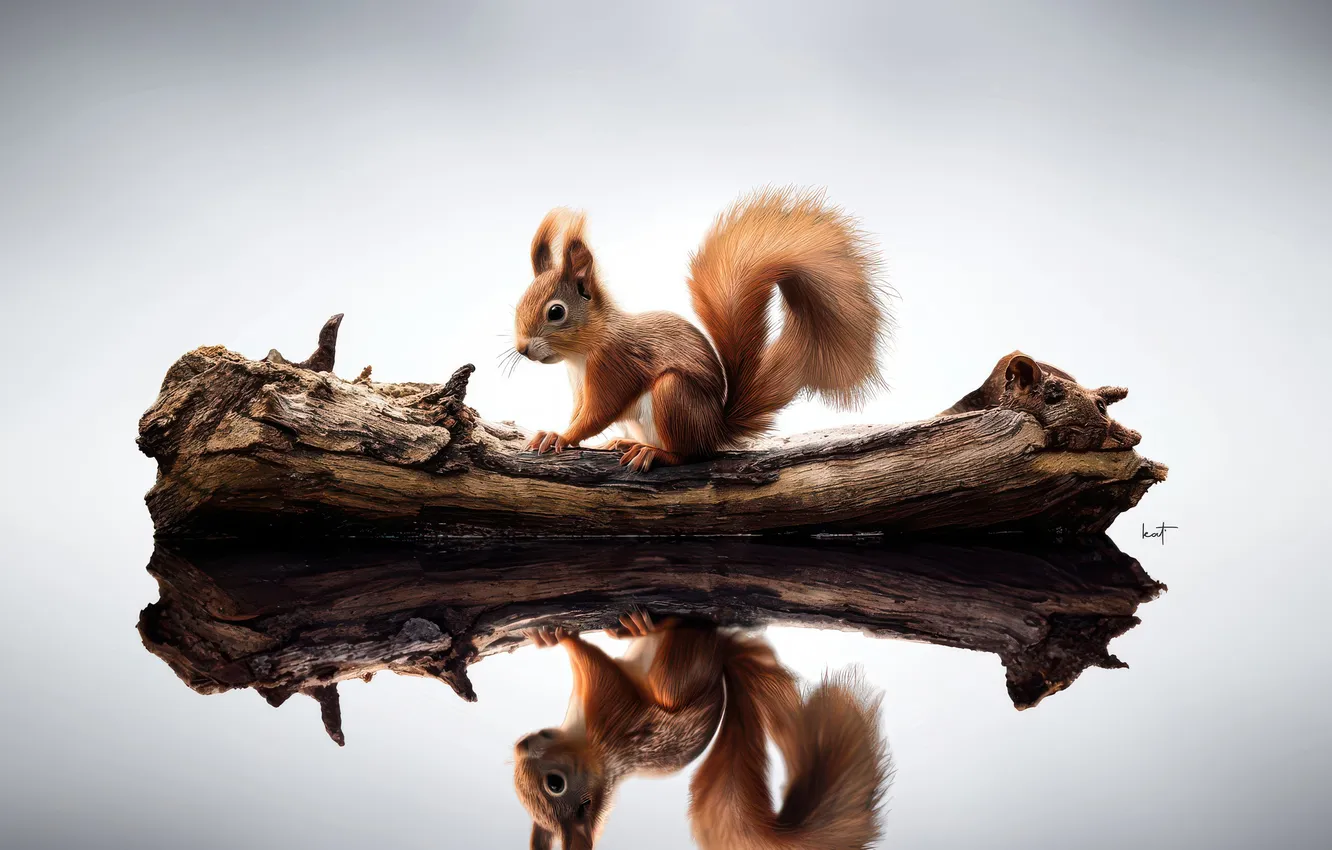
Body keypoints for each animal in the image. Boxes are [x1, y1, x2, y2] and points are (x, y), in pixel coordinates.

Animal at [512, 188, 891, 471]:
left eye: (556, 312)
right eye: (518, 304)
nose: (522, 349)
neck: (582, 353)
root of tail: (715, 430)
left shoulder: (615, 365)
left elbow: (597, 412)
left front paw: (561, 436)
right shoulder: (579, 385)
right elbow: (579, 410)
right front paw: (554, 432)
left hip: (674, 395)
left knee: (689, 454)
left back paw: (654, 453)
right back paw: (627, 441)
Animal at [513, 610, 891, 850]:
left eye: (555, 785)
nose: (520, 745)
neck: (594, 751)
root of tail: (720, 674)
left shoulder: (611, 710)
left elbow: (595, 664)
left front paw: (556, 637)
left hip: (671, 681)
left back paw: (643, 627)